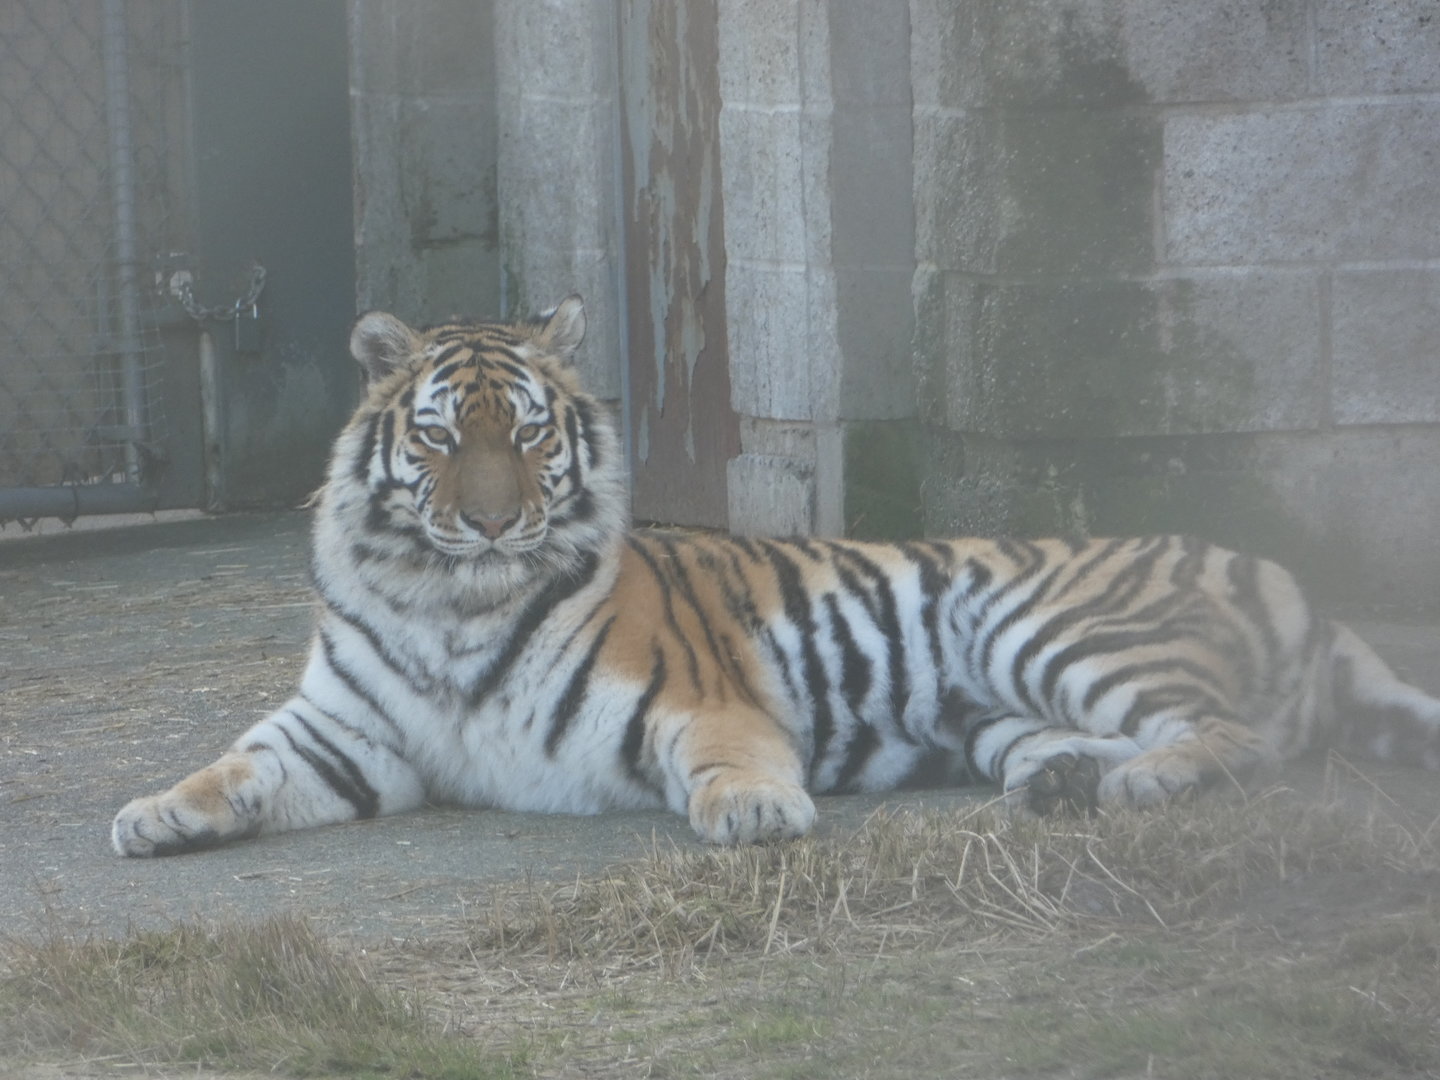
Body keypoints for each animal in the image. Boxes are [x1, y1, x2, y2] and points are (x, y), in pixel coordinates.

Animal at [111, 296, 1440, 856]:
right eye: (441, 438)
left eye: (529, 435)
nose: (490, 524)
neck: (453, 601)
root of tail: (1292, 581)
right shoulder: (347, 736)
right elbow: (238, 762)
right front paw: (155, 812)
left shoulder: (697, 698)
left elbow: (725, 755)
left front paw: (754, 812)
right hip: (1002, 709)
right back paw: (1066, 786)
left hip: (1050, 626)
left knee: (1239, 736)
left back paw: (1139, 785)